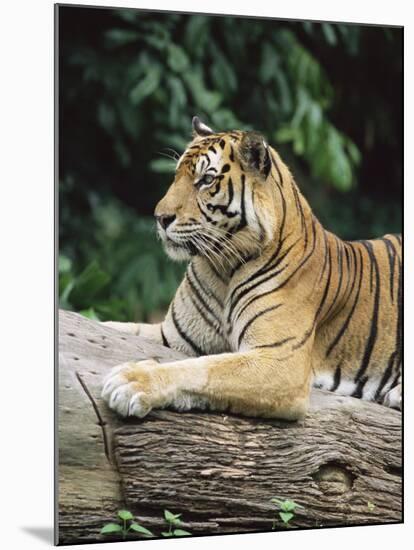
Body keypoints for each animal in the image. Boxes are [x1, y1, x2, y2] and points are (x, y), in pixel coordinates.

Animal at [100, 115, 402, 418]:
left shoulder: (279, 360)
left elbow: (204, 368)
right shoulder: (172, 335)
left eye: (206, 180)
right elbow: (114, 326)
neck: (221, 268)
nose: (160, 217)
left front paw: (132, 381)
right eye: (176, 176)